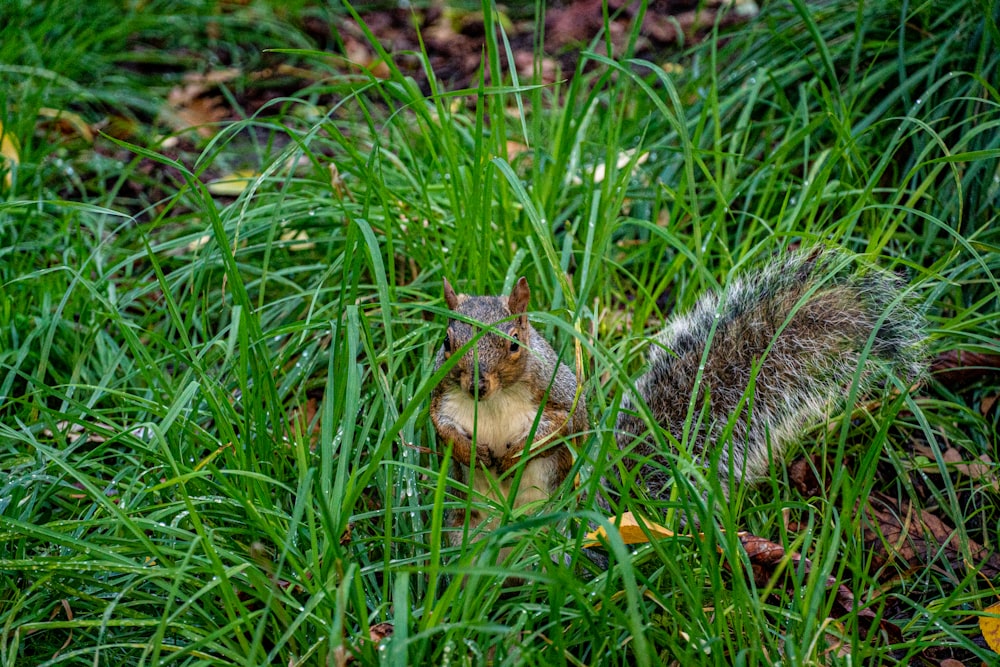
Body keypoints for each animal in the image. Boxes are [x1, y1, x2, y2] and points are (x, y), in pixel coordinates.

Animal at [426, 248, 924, 540]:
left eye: (514, 343)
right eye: (447, 343)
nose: (476, 384)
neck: (494, 403)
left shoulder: (558, 389)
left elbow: (567, 423)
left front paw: (515, 452)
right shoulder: (441, 396)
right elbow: (440, 427)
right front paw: (470, 450)